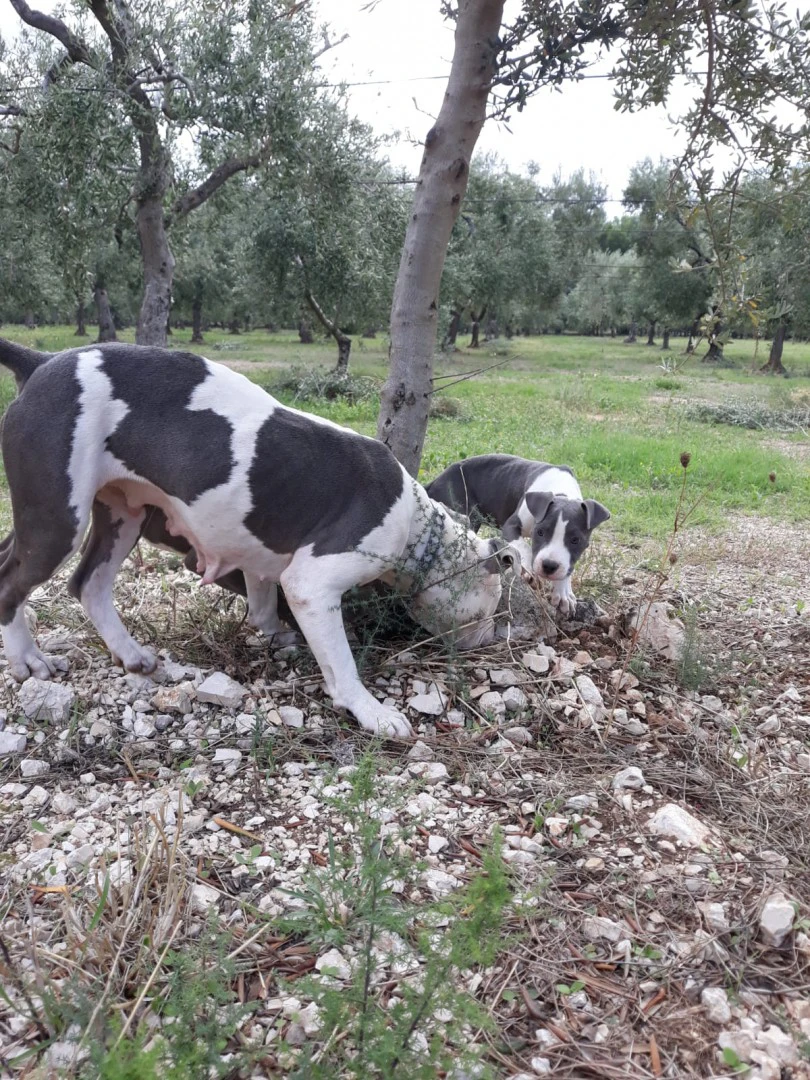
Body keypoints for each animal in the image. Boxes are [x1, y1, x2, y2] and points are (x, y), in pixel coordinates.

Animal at [0, 341, 520, 738]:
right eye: (488, 609)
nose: (491, 637)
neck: (418, 527)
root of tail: (43, 361)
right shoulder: (313, 585)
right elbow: (341, 664)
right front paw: (371, 711)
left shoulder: (261, 559)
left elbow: (264, 602)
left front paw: (275, 635)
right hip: (56, 519)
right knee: (12, 584)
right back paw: (28, 661)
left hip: (120, 513)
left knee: (88, 583)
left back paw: (131, 655)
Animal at [425, 451, 609, 613]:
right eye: (540, 532)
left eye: (575, 540)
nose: (549, 566)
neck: (561, 491)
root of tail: (435, 480)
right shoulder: (510, 526)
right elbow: (525, 547)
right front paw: (528, 572)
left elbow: (568, 567)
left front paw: (563, 593)